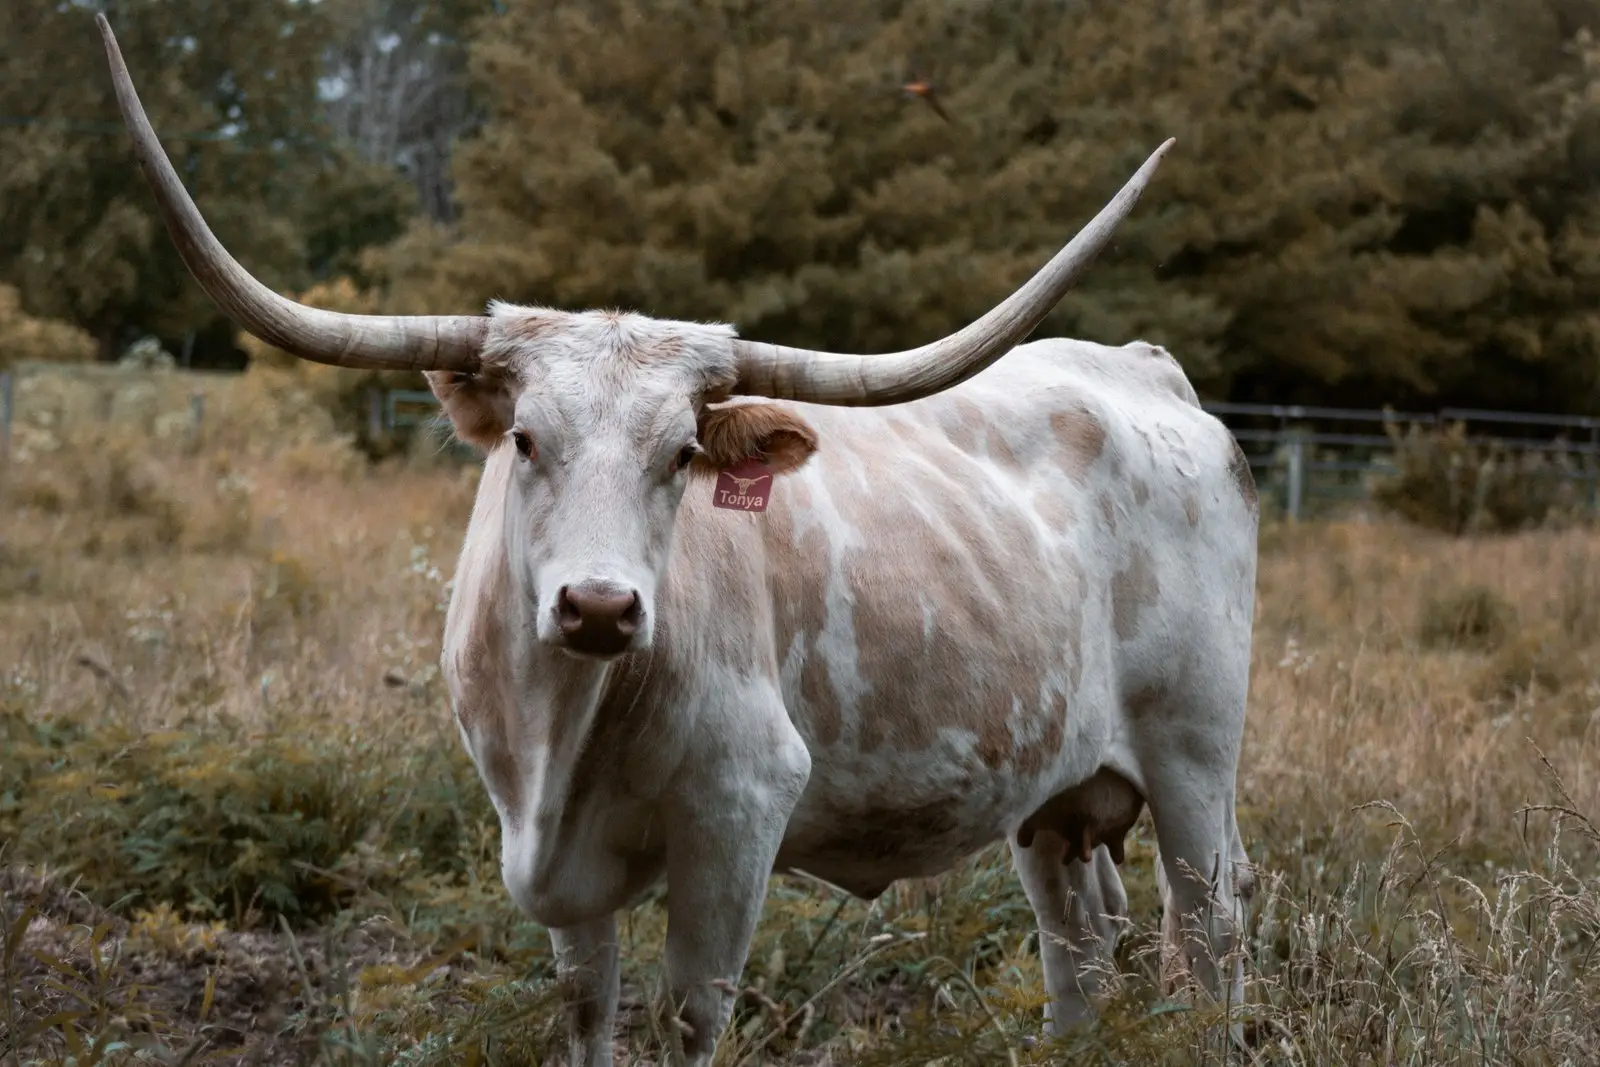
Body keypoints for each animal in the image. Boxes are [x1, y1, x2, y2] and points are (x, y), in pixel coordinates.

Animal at [96, 14, 1258, 1064]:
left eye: (683, 453)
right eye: (525, 438)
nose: (600, 606)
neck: (563, 739)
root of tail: (1145, 367)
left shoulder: (739, 810)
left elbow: (691, 1013)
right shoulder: (551, 857)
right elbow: (585, 1007)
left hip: (1195, 751)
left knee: (1210, 925)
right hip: (1054, 788)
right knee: (1082, 932)